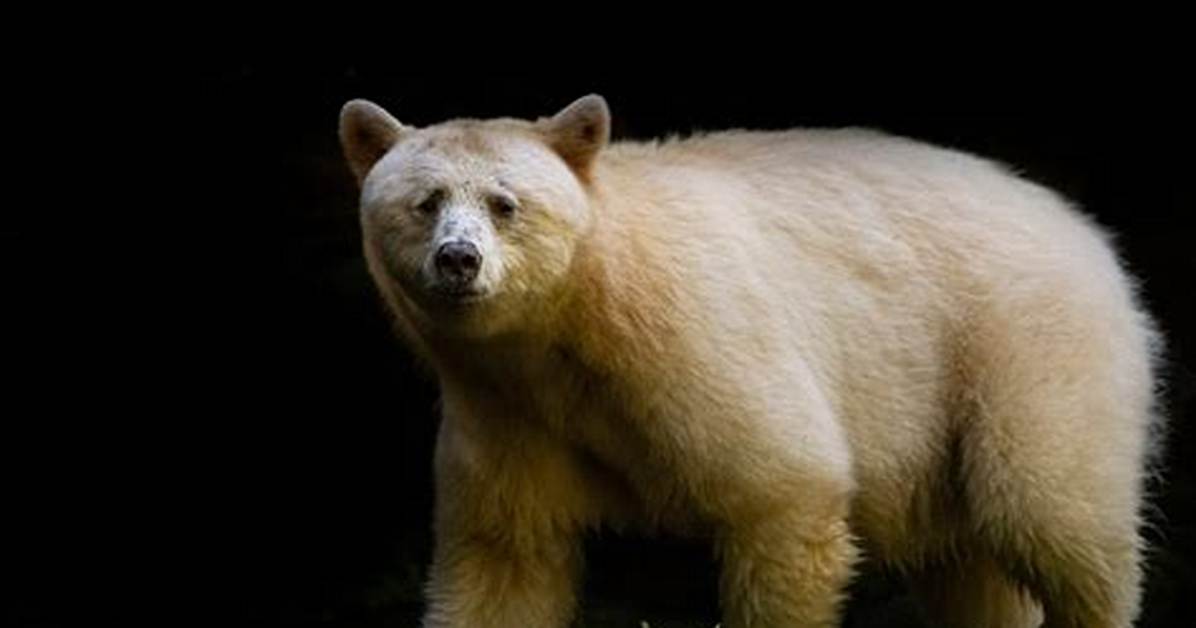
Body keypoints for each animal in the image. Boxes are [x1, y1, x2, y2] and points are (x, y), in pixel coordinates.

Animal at [338, 94, 1162, 628]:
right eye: (424, 201)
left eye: (505, 203)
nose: (459, 259)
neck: (574, 319)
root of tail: (1086, 232)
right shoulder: (506, 411)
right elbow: (502, 558)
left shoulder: (695, 336)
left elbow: (783, 483)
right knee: (977, 572)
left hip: (1020, 350)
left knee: (1052, 511)